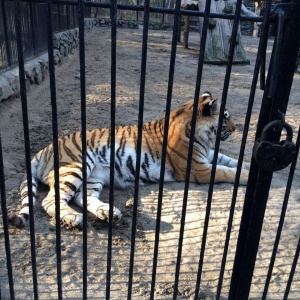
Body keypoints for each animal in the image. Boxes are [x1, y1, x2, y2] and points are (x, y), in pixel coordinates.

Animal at [8, 91, 248, 227]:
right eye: (226, 118)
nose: (236, 128)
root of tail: (43, 150)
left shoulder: (208, 155)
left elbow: (231, 161)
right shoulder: (198, 168)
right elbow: (226, 171)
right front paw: (246, 176)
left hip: (94, 176)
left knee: (82, 198)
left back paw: (108, 213)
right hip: (75, 166)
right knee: (50, 200)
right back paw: (73, 219)